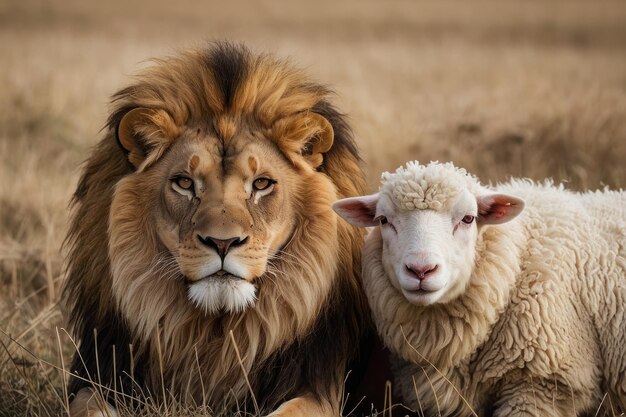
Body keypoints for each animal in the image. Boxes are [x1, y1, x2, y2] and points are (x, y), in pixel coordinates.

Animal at [64, 43, 370, 416]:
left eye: (262, 183)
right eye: (184, 182)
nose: (222, 243)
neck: (217, 333)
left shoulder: (319, 387)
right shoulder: (98, 372)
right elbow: (89, 404)